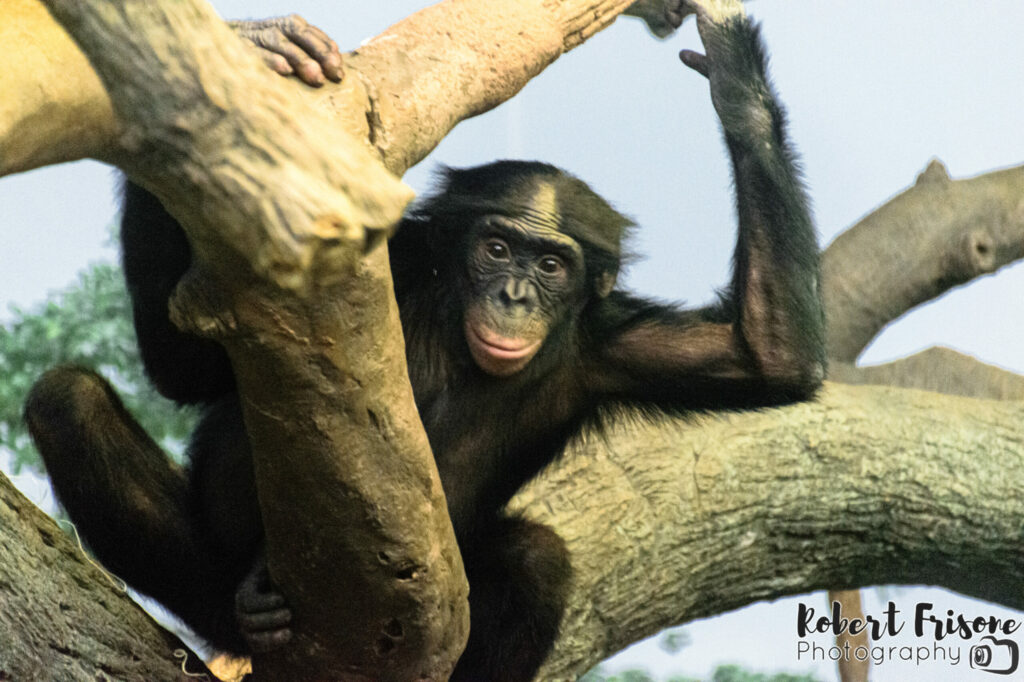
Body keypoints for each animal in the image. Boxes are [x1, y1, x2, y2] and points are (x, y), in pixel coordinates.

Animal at [22, 2, 823, 675]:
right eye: (496, 249)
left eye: (552, 264)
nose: (514, 296)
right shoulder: (386, 260)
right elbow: (184, 366)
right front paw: (238, 53)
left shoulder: (613, 348)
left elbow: (765, 353)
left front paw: (735, 77)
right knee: (70, 404)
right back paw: (247, 604)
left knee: (535, 559)